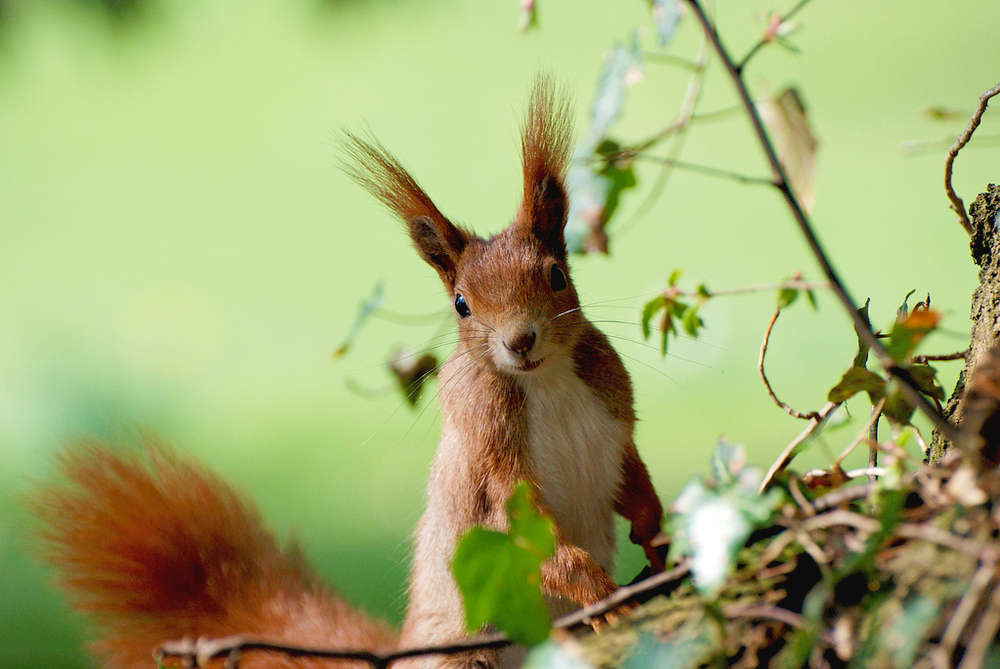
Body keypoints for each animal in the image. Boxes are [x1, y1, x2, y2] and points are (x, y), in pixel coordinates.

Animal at [31, 79, 664, 668]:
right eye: (461, 304)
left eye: (557, 275)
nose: (520, 341)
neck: (545, 381)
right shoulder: (491, 456)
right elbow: (534, 542)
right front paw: (604, 593)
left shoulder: (612, 412)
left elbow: (632, 473)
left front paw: (655, 531)